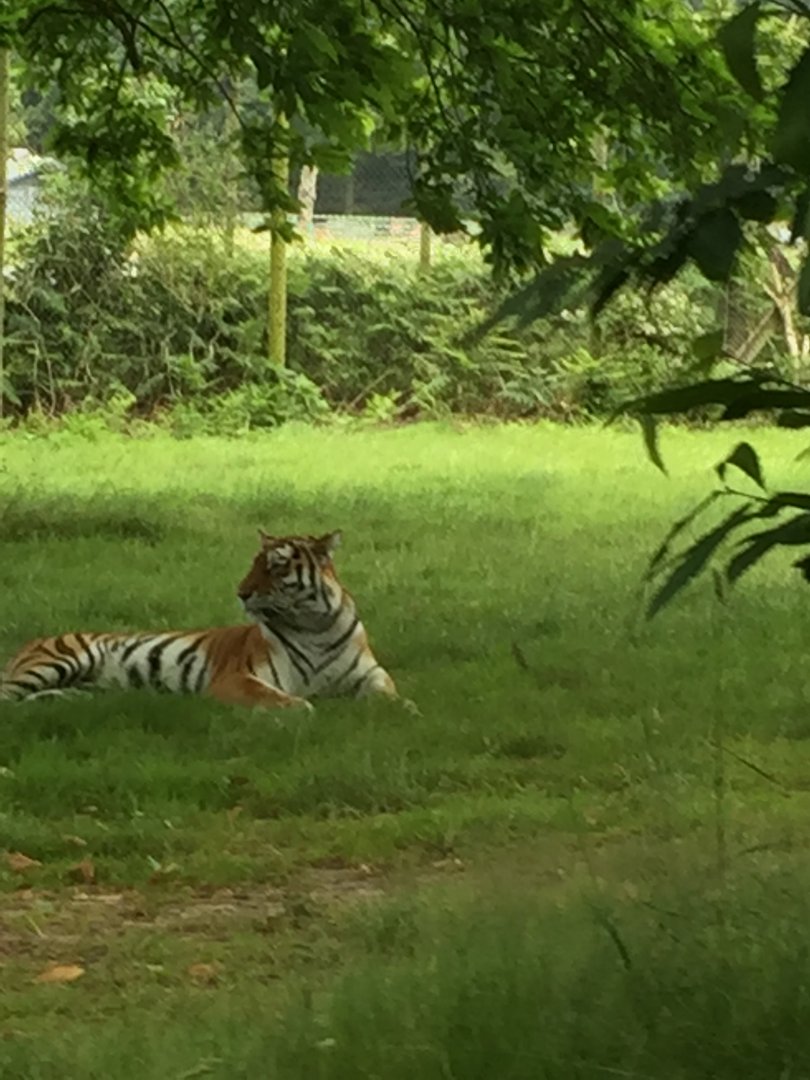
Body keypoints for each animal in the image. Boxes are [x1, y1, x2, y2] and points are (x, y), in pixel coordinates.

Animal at [0, 529, 407, 712]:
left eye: (274, 567)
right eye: (253, 564)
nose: (241, 592)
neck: (314, 626)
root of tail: (26, 644)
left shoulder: (369, 673)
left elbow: (388, 693)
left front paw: (406, 710)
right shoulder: (236, 678)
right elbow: (279, 698)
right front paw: (304, 709)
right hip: (61, 660)